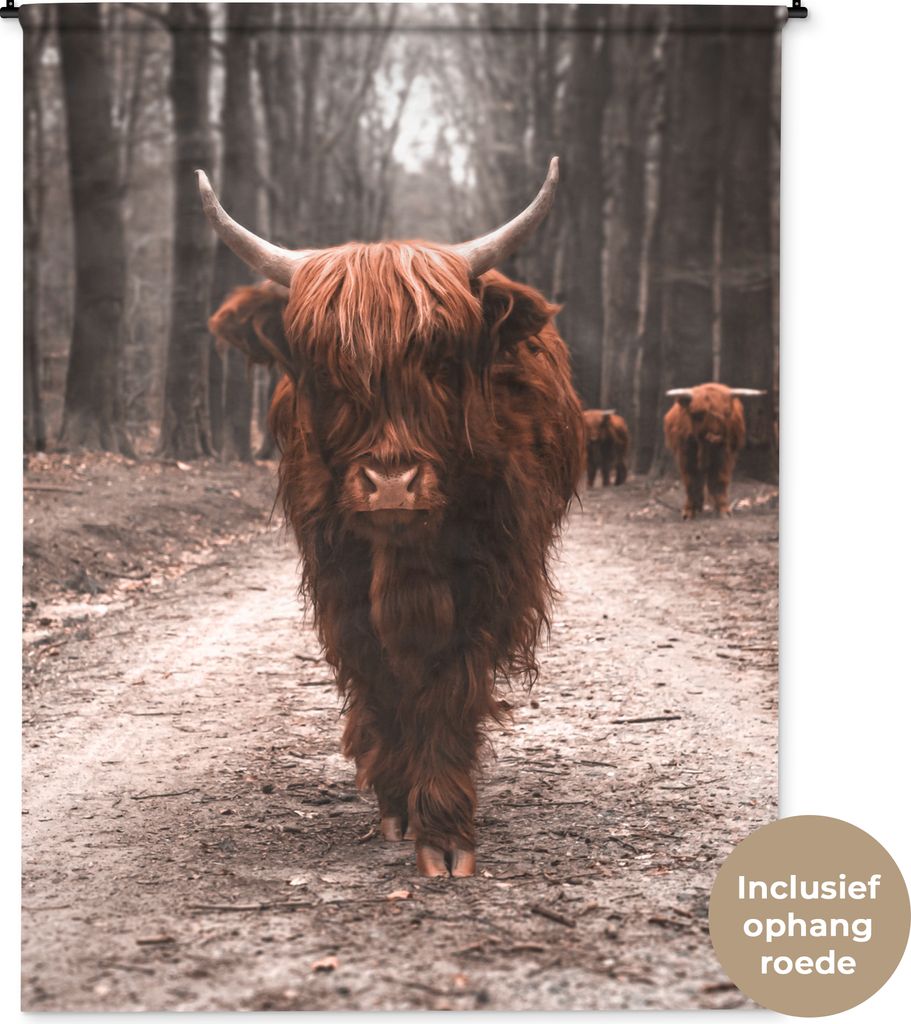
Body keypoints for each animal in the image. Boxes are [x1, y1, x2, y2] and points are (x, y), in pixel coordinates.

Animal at [196, 159, 585, 877]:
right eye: (326, 369)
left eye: (441, 360)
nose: (392, 485)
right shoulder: (338, 580)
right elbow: (379, 678)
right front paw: (399, 804)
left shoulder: (489, 578)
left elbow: (448, 684)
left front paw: (445, 831)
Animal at [663, 383, 765, 519]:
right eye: (697, 414)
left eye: (727, 413)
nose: (714, 437)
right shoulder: (685, 455)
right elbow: (691, 481)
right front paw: (689, 511)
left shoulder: (724, 455)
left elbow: (719, 480)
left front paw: (723, 510)